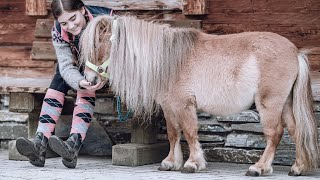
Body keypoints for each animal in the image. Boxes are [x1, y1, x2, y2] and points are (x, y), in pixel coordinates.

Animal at [79, 15, 318, 176]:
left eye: (98, 44)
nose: (89, 79)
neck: (169, 60)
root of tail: (295, 52)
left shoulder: (184, 105)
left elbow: (190, 132)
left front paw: (193, 163)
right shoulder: (169, 107)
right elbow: (173, 133)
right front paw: (170, 162)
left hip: (269, 104)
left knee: (275, 133)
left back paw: (259, 168)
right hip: (285, 104)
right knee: (295, 130)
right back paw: (297, 167)